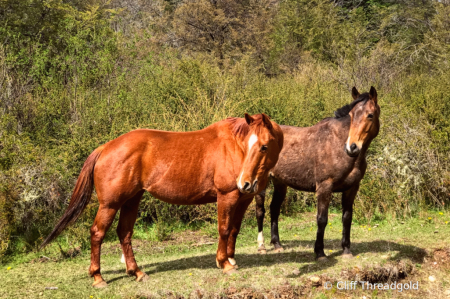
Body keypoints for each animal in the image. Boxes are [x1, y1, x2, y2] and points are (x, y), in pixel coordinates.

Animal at [41, 113, 282, 288]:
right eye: (249, 145)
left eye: (263, 146)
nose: (245, 181)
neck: (233, 147)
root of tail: (105, 147)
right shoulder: (227, 196)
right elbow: (223, 229)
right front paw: (224, 263)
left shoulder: (244, 198)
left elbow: (234, 230)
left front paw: (231, 259)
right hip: (110, 205)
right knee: (97, 233)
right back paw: (98, 278)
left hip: (132, 200)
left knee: (124, 233)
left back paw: (136, 272)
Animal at [255, 86, 378, 260]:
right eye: (351, 115)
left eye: (370, 115)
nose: (352, 147)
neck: (338, 144)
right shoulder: (324, 187)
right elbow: (322, 219)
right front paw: (319, 252)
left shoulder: (352, 188)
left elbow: (347, 218)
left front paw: (346, 250)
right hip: (261, 182)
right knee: (260, 211)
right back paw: (262, 246)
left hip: (280, 183)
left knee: (274, 209)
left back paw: (277, 244)